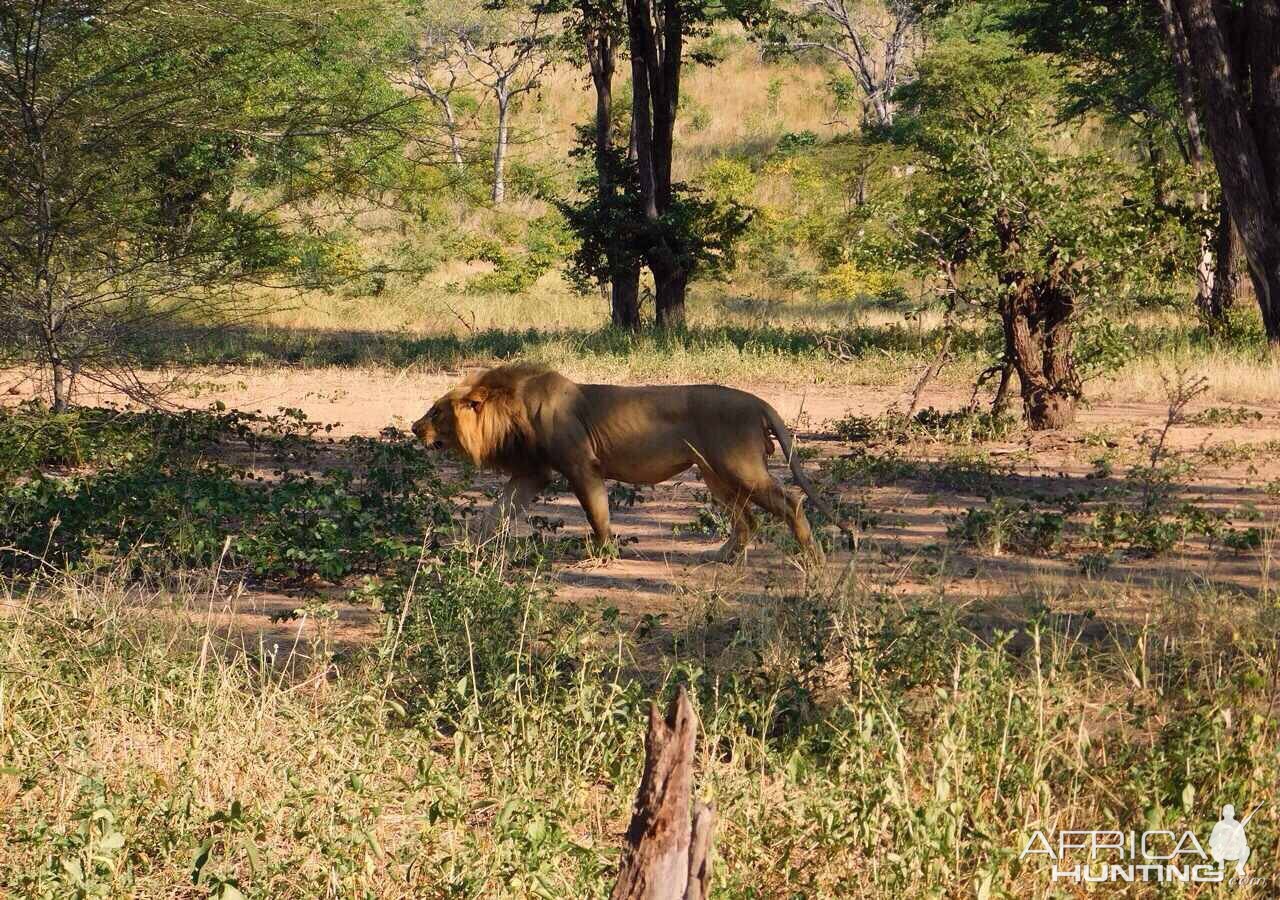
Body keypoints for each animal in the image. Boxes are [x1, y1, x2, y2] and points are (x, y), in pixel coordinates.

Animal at [414, 363, 844, 560]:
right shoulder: (532, 473)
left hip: (740, 468)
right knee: (748, 519)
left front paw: (603, 552)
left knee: (792, 503)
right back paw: (721, 557)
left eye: (436, 412)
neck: (512, 411)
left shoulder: (581, 465)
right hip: (714, 475)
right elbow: (496, 512)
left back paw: (812, 557)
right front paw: (468, 547)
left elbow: (596, 512)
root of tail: (758, 401)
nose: (415, 428)